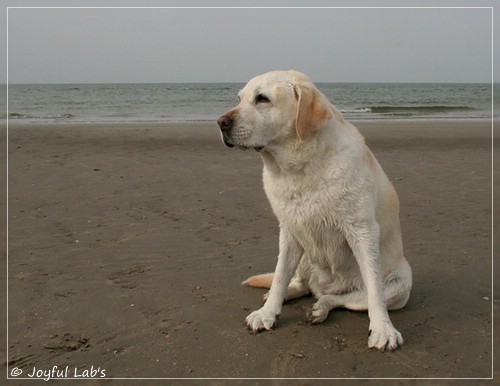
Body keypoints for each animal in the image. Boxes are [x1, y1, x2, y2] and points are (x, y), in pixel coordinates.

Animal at [217, 69, 412, 350]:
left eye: (262, 99)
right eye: (239, 98)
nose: (220, 122)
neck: (299, 167)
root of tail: (324, 286)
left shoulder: (362, 231)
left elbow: (375, 291)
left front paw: (383, 330)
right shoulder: (289, 231)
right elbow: (279, 275)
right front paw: (267, 313)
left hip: (401, 285)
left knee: (342, 299)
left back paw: (321, 307)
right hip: (305, 255)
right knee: (299, 284)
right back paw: (282, 296)